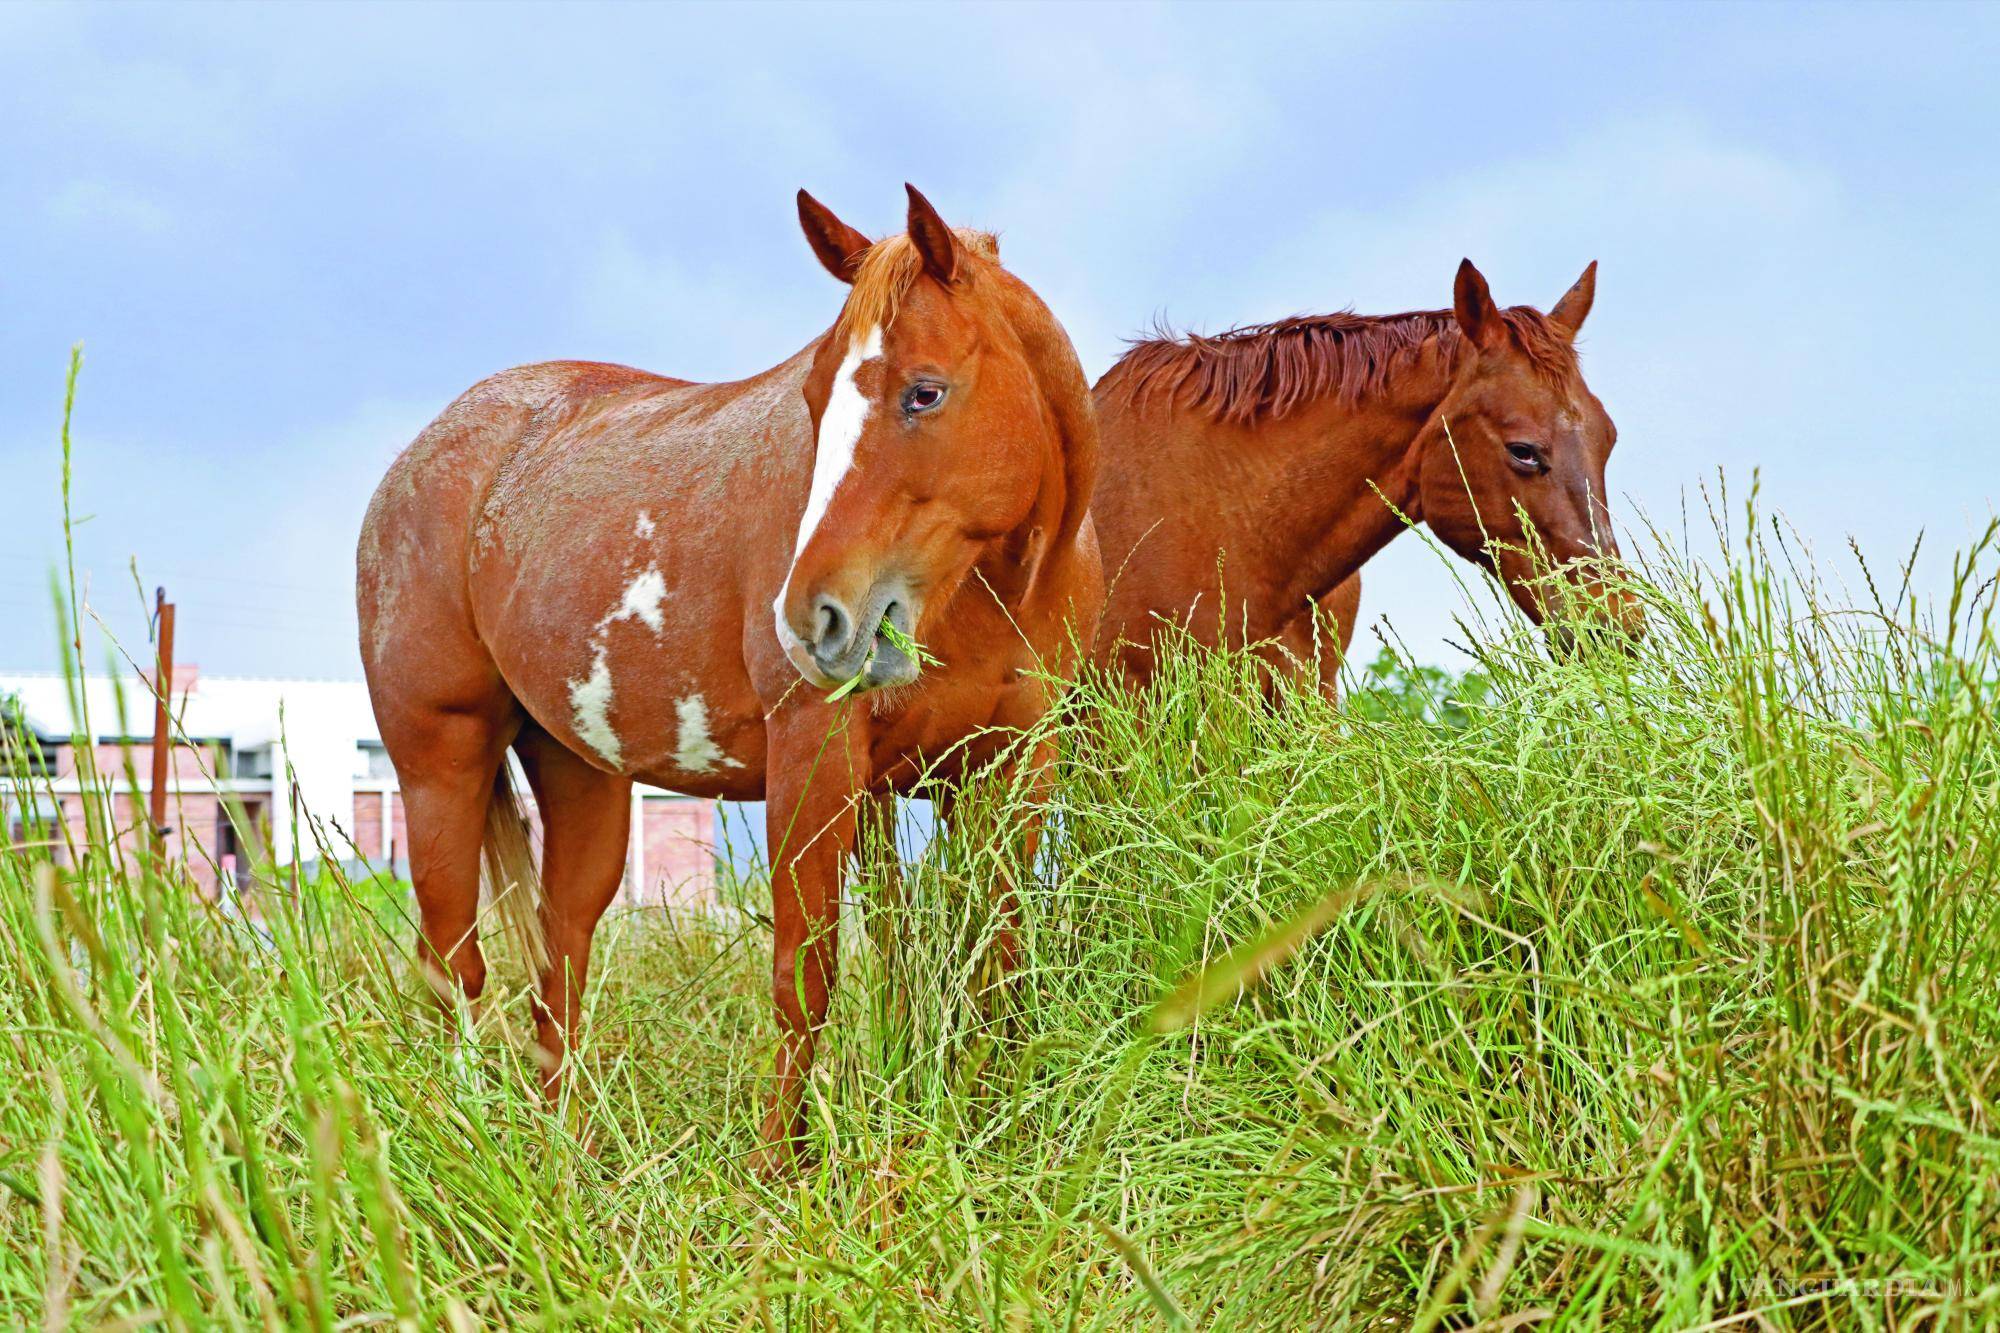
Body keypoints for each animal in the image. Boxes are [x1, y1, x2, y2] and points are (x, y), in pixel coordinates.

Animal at [364, 184, 1112, 1160]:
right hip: (440, 761)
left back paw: (567, 1150)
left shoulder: (1012, 761)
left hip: (578, 769)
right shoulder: (817, 757)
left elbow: (990, 954)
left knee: (561, 953)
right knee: (455, 962)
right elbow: (807, 968)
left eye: (925, 391)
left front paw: (979, 1128)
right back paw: (472, 1142)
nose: (812, 622)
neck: (989, 592)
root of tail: (421, 461)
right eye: (811, 397)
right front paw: (779, 1168)